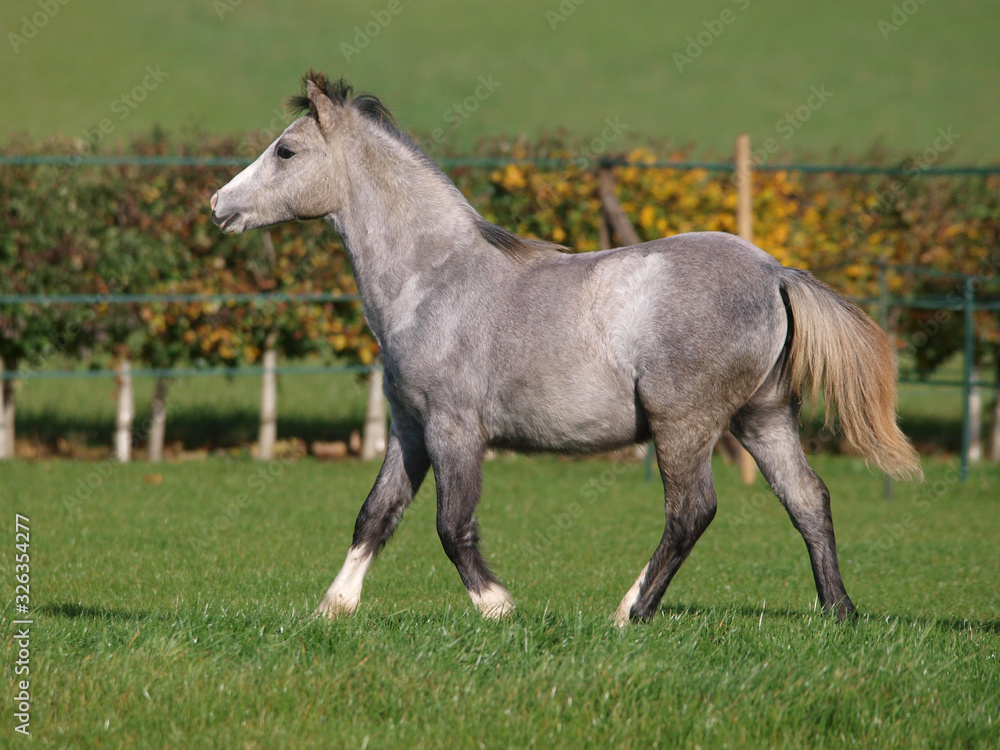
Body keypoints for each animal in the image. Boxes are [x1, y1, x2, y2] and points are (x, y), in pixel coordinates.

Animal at [211, 71, 921, 625]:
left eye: (286, 150)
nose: (219, 205)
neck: (434, 278)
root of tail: (774, 271)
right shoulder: (409, 428)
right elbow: (375, 516)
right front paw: (333, 608)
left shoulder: (455, 429)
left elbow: (451, 525)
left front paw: (498, 607)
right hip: (762, 416)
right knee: (807, 499)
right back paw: (838, 613)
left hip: (685, 424)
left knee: (691, 511)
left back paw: (630, 613)